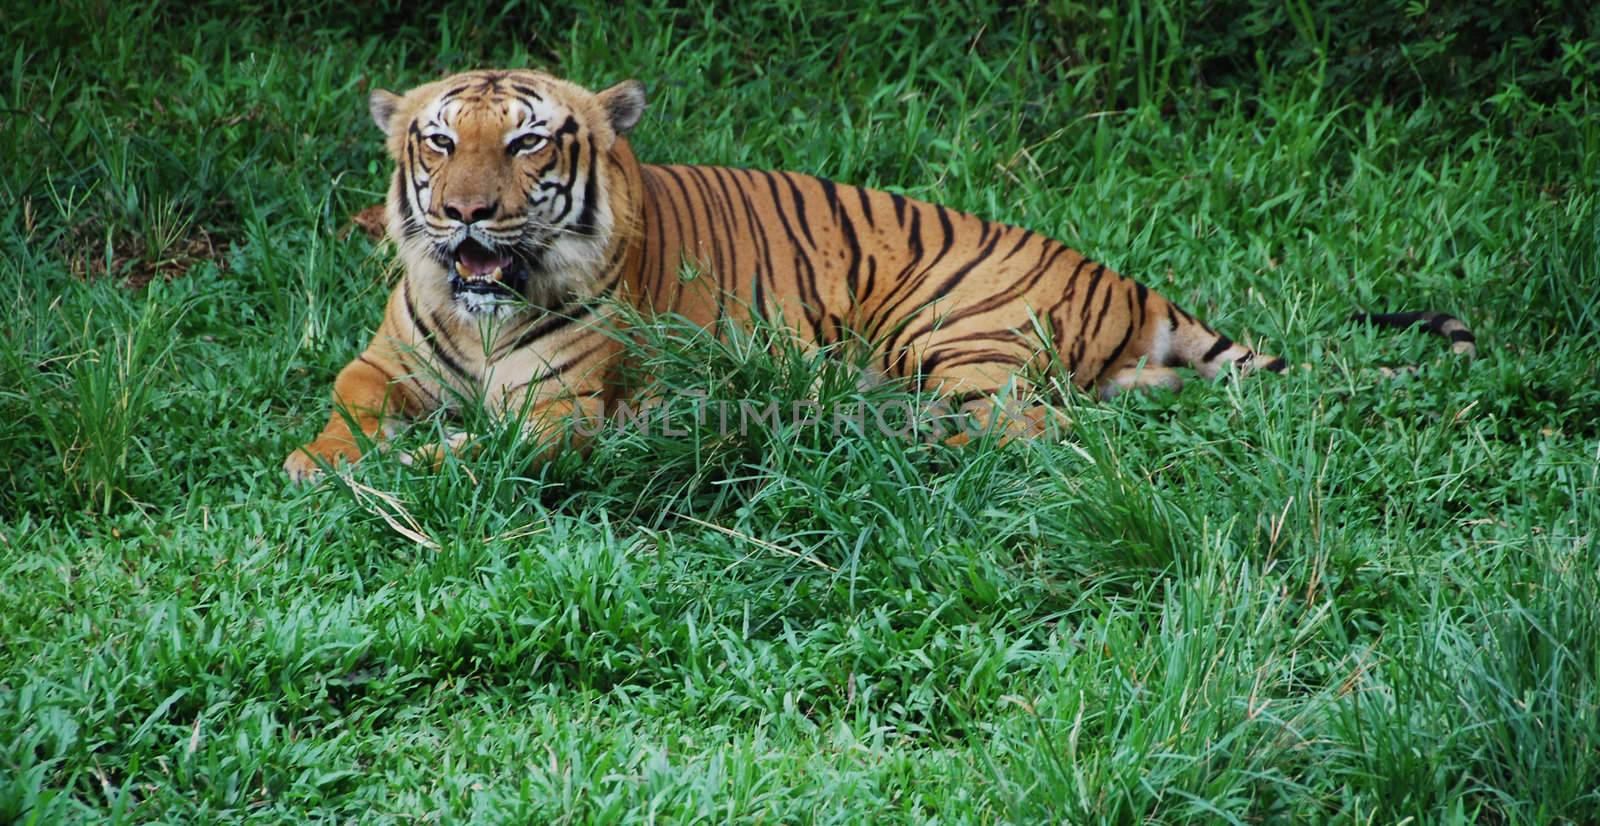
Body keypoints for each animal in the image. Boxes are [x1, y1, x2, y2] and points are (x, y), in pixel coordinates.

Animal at [281, 70, 1478, 483]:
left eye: (528, 144)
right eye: (440, 142)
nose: (465, 214)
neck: (475, 310)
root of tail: (1127, 281)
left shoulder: (554, 414)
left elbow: (463, 452)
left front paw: (378, 473)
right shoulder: (384, 360)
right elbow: (345, 406)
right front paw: (318, 457)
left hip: (946, 326)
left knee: (1027, 431)